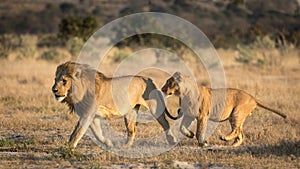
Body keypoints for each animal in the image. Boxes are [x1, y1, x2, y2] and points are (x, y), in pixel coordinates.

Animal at [51, 61, 180, 149]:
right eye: (55, 80)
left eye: (64, 81)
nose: (54, 90)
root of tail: (147, 78)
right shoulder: (92, 116)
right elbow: (97, 133)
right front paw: (108, 143)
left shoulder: (87, 114)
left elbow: (77, 132)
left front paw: (68, 148)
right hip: (130, 112)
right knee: (132, 130)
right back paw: (125, 146)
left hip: (154, 107)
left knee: (165, 123)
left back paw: (172, 140)